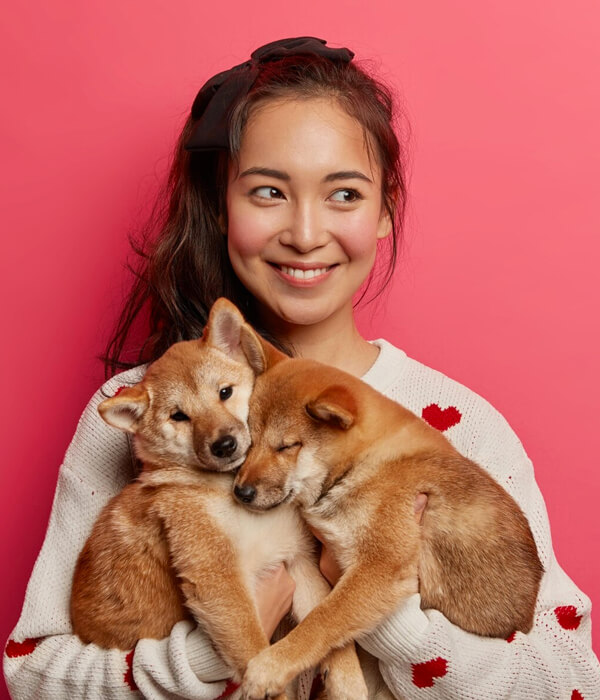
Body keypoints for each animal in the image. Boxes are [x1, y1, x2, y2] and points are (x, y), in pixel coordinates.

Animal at [70, 298, 367, 699]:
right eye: (179, 416)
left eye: (224, 392)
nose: (224, 445)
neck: (232, 494)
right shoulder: (217, 577)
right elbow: (254, 646)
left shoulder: (297, 561)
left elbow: (323, 633)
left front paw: (350, 682)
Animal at [229, 326, 544, 699]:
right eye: (249, 439)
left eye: (286, 446)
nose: (240, 492)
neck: (364, 460)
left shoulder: (380, 567)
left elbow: (322, 620)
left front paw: (272, 666)